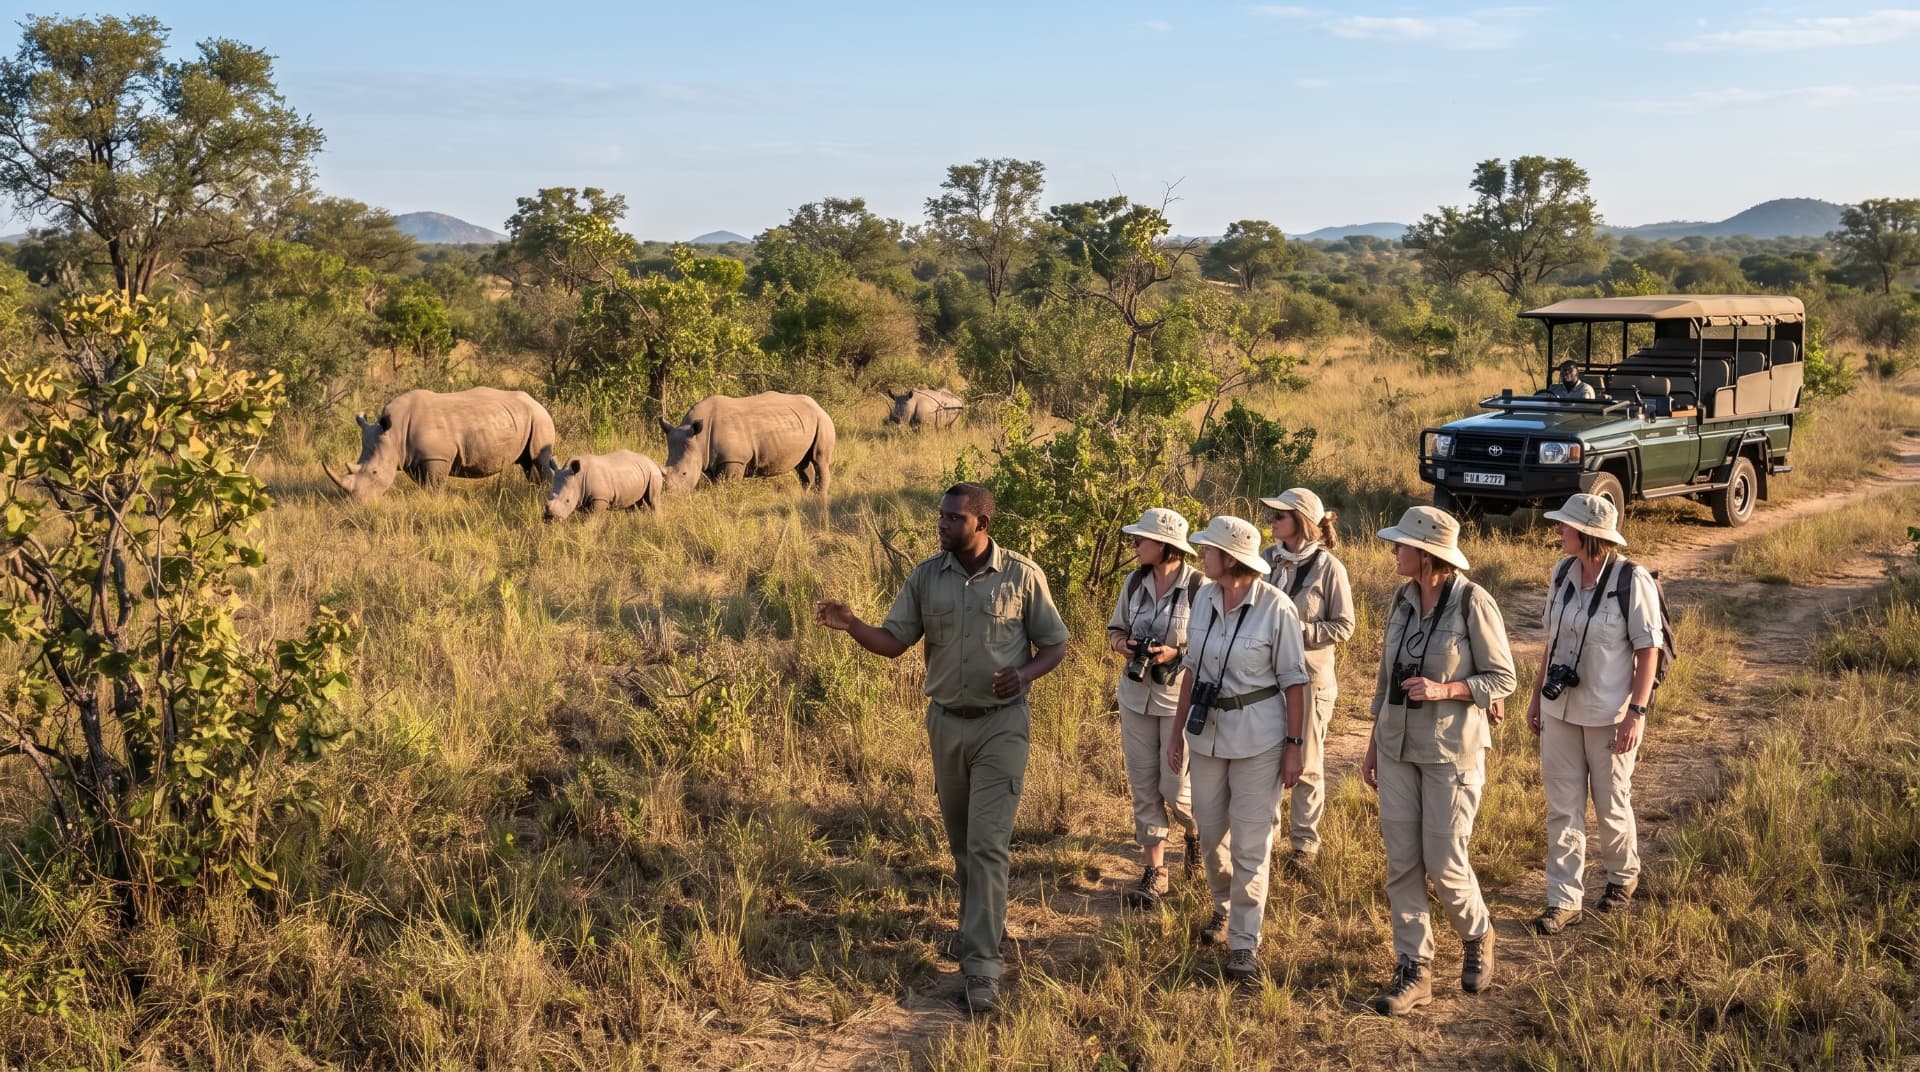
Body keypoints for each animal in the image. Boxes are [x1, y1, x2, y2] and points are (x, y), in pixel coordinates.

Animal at [323, 387, 558, 501]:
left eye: (374, 472)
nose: (356, 501)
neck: (395, 434)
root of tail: (538, 402)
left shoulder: (436, 457)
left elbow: (434, 485)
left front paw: (434, 502)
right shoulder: (413, 458)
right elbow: (424, 483)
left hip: (540, 418)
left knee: (539, 458)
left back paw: (541, 493)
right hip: (528, 417)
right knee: (527, 462)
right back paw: (532, 491)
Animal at [658, 392, 836, 494]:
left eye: (684, 473)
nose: (670, 495)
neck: (699, 439)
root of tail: (818, 405)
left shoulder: (733, 459)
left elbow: (728, 486)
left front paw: (728, 501)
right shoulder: (710, 459)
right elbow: (717, 484)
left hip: (822, 420)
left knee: (819, 459)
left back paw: (820, 496)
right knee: (802, 463)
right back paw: (807, 495)